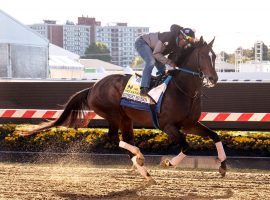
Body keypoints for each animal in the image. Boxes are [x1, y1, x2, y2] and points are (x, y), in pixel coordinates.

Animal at [23, 36, 227, 184]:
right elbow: (186, 146)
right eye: (204, 57)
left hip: (126, 119)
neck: (182, 90)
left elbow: (215, 135)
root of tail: (92, 87)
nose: (213, 78)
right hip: (115, 115)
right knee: (116, 139)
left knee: (124, 140)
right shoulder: (168, 126)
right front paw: (168, 162)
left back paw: (144, 170)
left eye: (215, 56)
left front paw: (223, 166)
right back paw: (140, 158)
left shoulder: (189, 124)